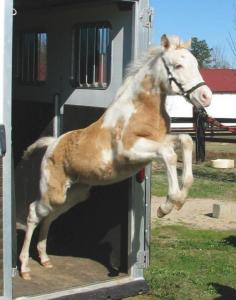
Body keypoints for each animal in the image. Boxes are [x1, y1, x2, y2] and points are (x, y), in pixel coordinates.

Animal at [18, 35, 212, 282]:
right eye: (178, 65)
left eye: (196, 64)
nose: (206, 97)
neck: (138, 111)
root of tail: (53, 143)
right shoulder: (129, 151)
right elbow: (168, 154)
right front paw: (167, 206)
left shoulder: (162, 140)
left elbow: (185, 141)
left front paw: (180, 197)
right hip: (53, 192)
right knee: (34, 213)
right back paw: (25, 267)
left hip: (74, 195)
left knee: (50, 217)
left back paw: (44, 259)